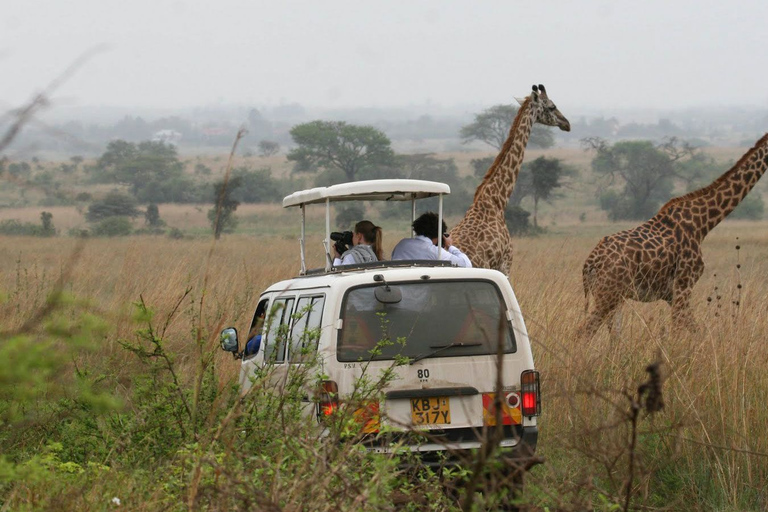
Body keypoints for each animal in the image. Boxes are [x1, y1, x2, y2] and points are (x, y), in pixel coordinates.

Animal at [580, 134, 768, 338]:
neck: (702, 224)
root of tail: (589, 264)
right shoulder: (683, 286)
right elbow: (678, 332)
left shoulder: (672, 294)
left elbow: (695, 330)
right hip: (608, 294)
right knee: (584, 332)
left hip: (614, 296)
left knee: (613, 336)